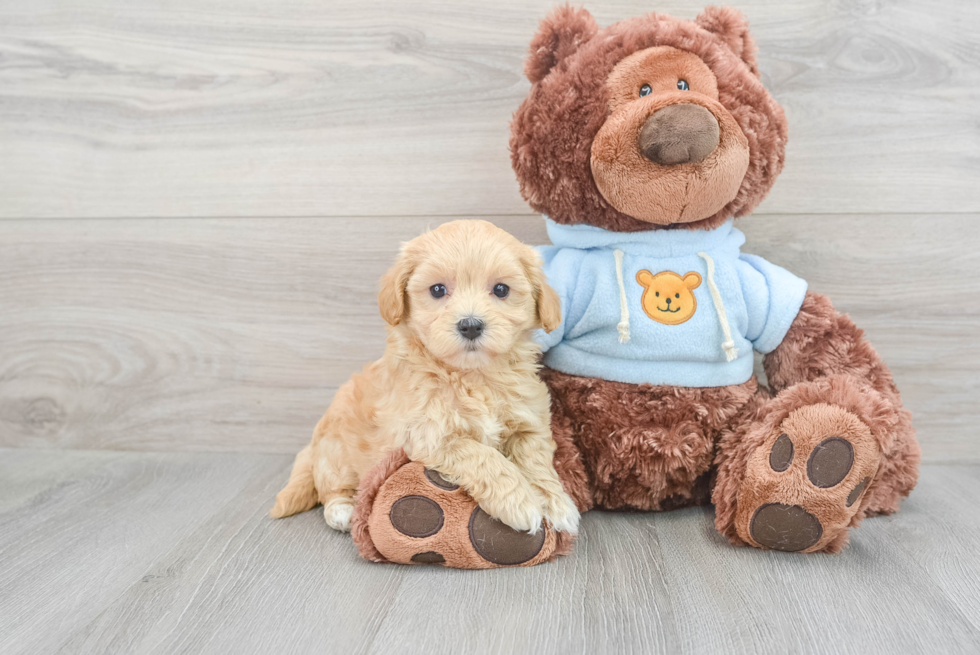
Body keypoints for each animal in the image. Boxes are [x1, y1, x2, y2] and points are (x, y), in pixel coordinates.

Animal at [268, 218, 580, 536]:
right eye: (438, 290)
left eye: (501, 289)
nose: (470, 325)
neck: (472, 376)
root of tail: (312, 447)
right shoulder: (429, 434)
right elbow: (481, 455)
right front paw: (518, 502)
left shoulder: (528, 423)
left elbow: (536, 460)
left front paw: (556, 503)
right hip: (336, 452)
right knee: (331, 487)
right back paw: (342, 511)